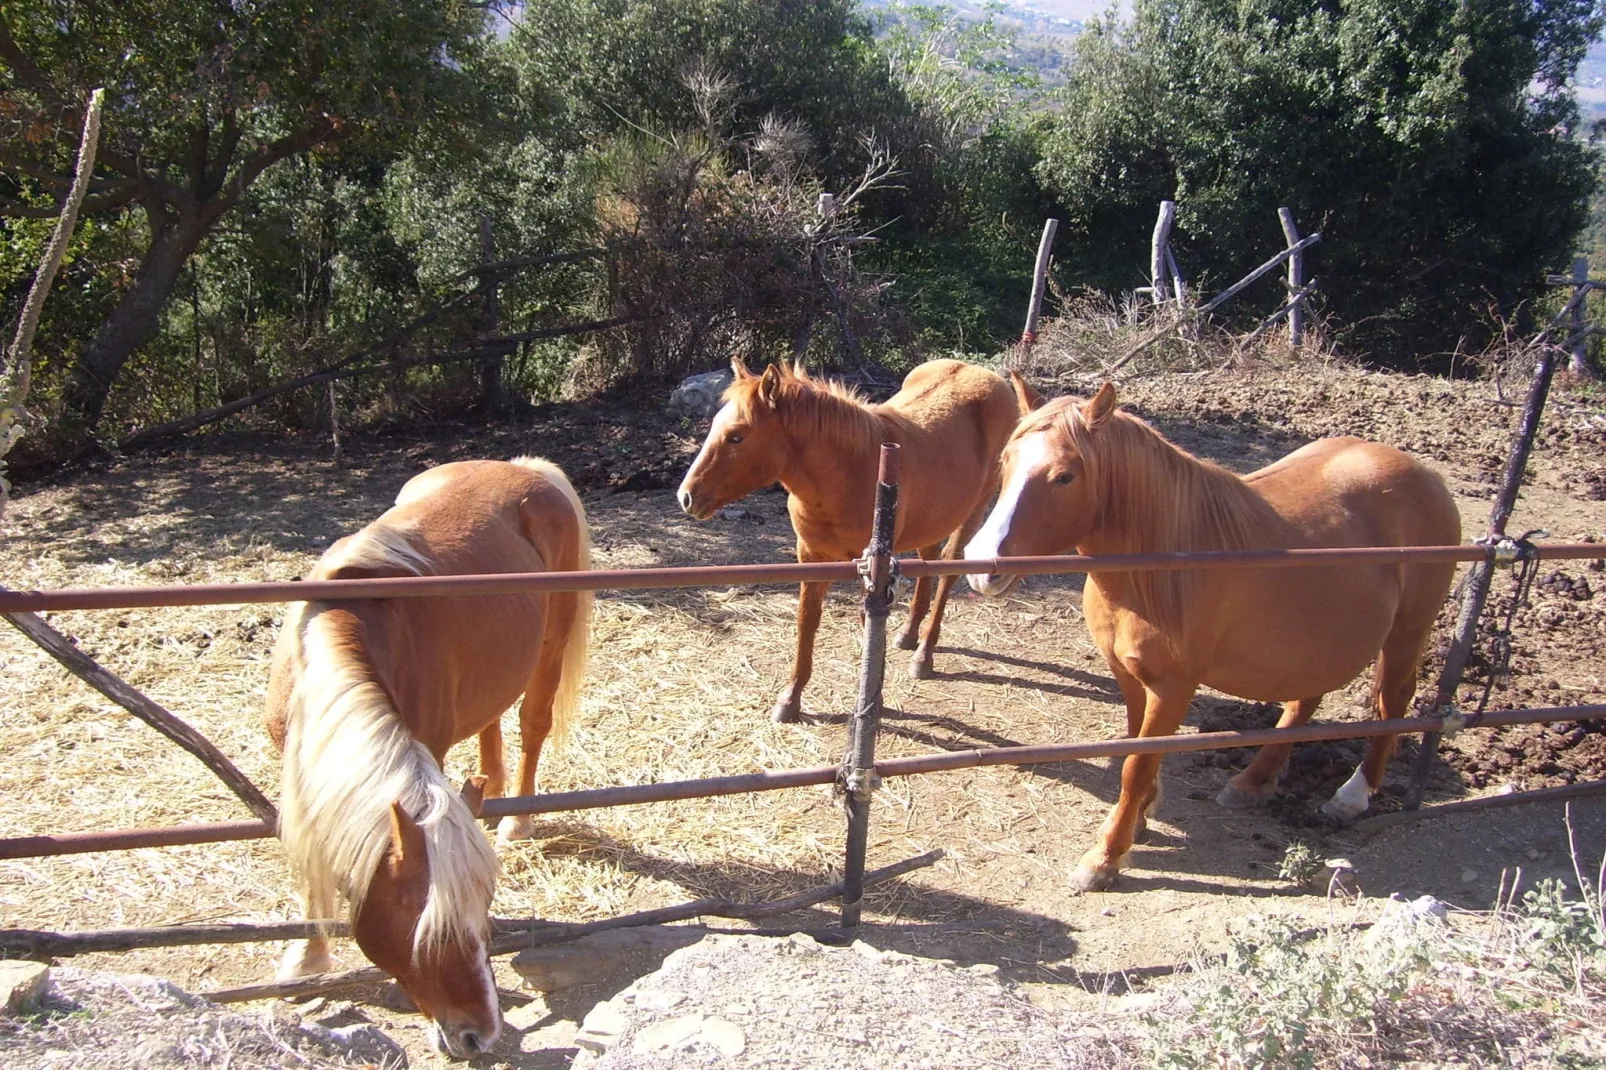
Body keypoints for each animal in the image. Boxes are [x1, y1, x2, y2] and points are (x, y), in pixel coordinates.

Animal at [260, 453, 594, 1053]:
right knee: (491, 720)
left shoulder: (427, 752)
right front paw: (307, 960)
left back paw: (519, 822)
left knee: (532, 723)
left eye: (485, 912)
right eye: (430, 928)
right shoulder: (299, 769)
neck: (340, 629)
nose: (481, 1034)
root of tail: (524, 469)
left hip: (550, 646)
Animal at [677, 356, 1027, 716]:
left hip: (975, 509)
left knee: (948, 571)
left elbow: (867, 624)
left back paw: (923, 656)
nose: (686, 496)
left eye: (736, 437)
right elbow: (807, 620)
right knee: (929, 561)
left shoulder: (871, 568)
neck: (849, 471)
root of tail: (984, 374)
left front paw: (873, 700)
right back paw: (908, 634)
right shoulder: (811, 556)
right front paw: (791, 698)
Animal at [957, 383, 1464, 893]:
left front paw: (1105, 857)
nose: (981, 567)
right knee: (1306, 699)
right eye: (1005, 461)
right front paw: (1140, 818)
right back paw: (1252, 783)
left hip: (1407, 631)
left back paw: (1353, 795)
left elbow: (1136, 765)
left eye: (1064, 476)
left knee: (1393, 701)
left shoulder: (1174, 686)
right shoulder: (1128, 674)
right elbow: (1134, 745)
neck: (1160, 567)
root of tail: (1424, 475)